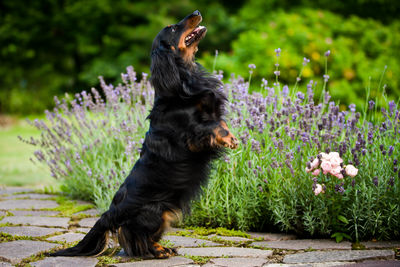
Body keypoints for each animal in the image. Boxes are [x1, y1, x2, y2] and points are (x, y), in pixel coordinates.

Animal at [50, 10, 238, 260]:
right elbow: (214, 126)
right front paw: (229, 139)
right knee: (135, 235)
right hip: (155, 211)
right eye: (172, 28)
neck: (181, 80)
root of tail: (110, 212)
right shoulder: (192, 133)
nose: (197, 13)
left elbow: (221, 120)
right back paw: (159, 251)